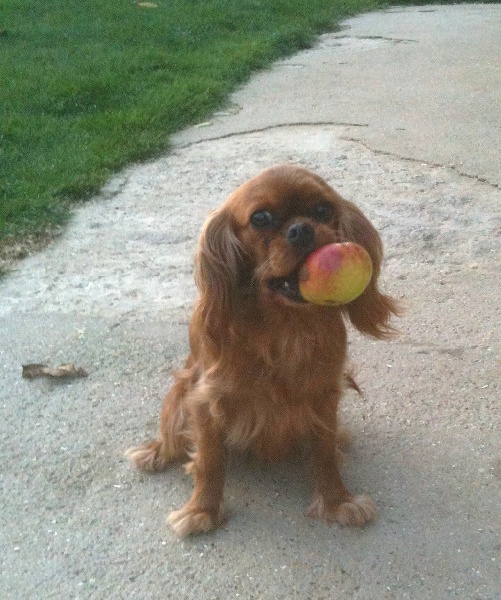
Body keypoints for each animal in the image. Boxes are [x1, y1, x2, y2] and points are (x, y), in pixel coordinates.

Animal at [126, 165, 398, 540]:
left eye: (323, 210)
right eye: (261, 218)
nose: (301, 229)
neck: (285, 324)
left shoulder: (324, 397)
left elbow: (324, 453)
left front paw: (337, 501)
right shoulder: (205, 399)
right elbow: (209, 461)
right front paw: (201, 512)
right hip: (177, 396)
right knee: (170, 435)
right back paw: (155, 451)